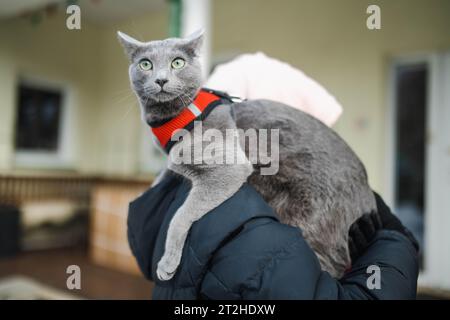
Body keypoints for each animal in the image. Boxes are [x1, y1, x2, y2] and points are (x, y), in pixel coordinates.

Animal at [117, 30, 376, 280]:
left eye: (177, 62)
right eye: (145, 64)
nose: (161, 79)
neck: (174, 118)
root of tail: (367, 195)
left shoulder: (229, 167)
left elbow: (180, 215)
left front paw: (167, 263)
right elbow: (163, 176)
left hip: (311, 218)